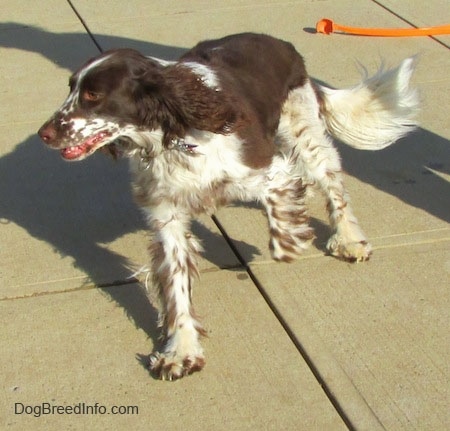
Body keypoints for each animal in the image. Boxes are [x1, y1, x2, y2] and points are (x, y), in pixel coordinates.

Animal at [37, 33, 418, 382]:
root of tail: (283, 45)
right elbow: (177, 287)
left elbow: (280, 202)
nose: (44, 134)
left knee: (331, 182)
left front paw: (289, 241)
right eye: (71, 89)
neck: (174, 135)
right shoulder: (167, 217)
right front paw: (181, 352)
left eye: (93, 95)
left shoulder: (264, 169)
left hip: (304, 132)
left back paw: (349, 238)